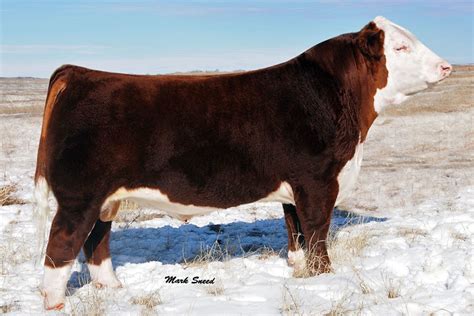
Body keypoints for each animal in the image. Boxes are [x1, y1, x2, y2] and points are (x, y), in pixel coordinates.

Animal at [34, 16, 452, 310]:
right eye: (400, 47)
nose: (447, 66)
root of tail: (79, 73)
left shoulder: (295, 186)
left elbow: (295, 231)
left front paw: (299, 271)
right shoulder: (318, 181)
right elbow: (317, 232)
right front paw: (325, 279)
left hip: (106, 198)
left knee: (96, 241)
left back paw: (113, 288)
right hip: (79, 197)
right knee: (62, 246)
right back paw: (55, 303)